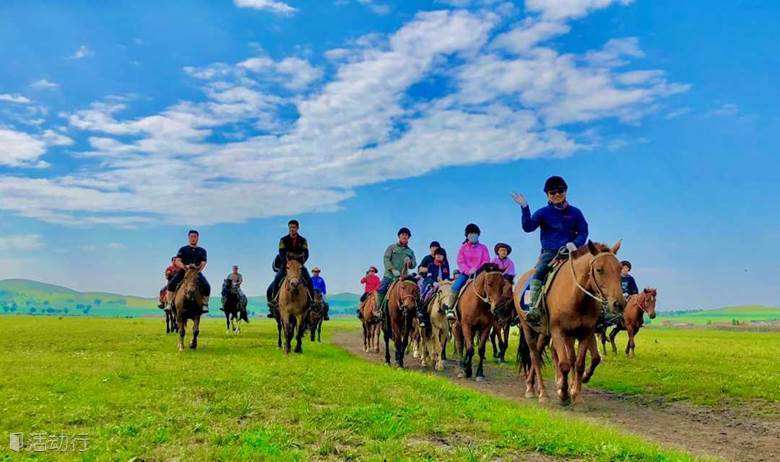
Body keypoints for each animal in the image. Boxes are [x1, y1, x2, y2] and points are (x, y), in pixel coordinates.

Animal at [516, 242, 624, 404]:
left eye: (619, 269)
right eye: (599, 269)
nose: (619, 304)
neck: (577, 296)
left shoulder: (586, 332)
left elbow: (580, 363)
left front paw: (576, 394)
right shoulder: (559, 332)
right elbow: (565, 364)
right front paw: (563, 394)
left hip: (544, 332)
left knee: (540, 351)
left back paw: (532, 385)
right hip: (528, 328)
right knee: (534, 355)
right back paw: (540, 392)